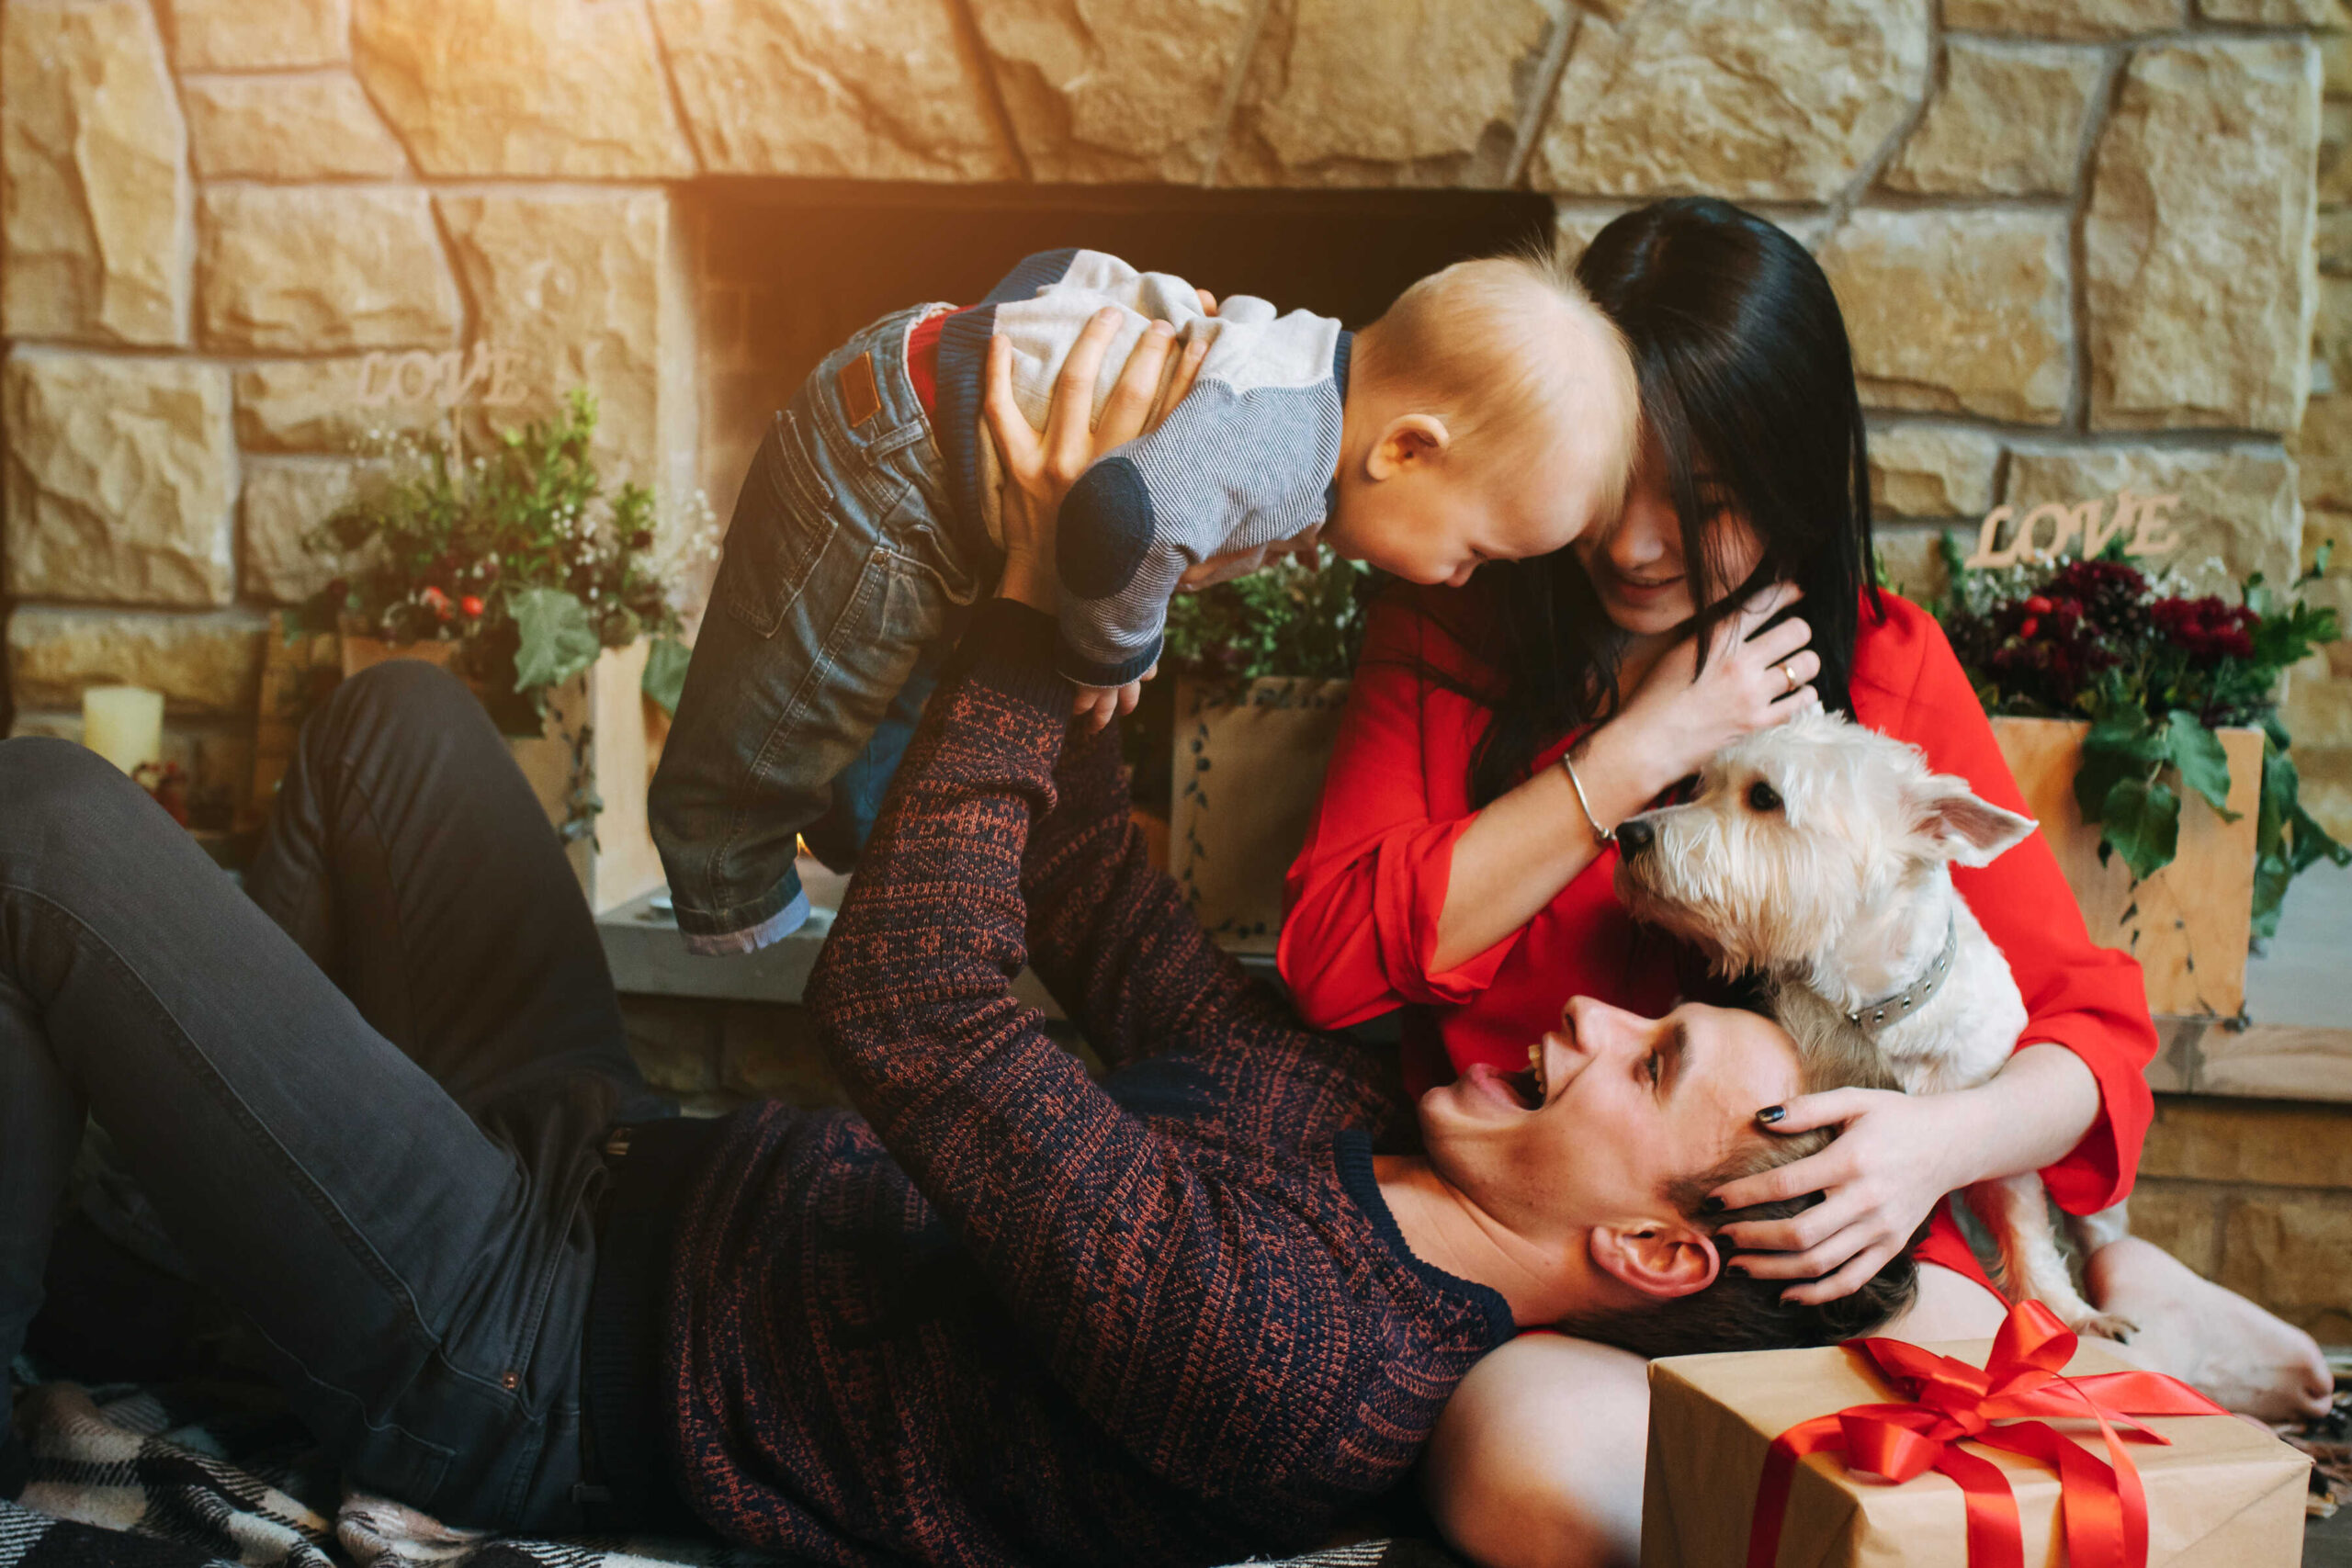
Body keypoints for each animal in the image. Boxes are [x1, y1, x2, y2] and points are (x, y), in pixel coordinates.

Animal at [1618, 709, 2135, 1335]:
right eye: (1700, 785)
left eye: (1764, 796)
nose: (1626, 834)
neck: (1873, 1013)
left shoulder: (1990, 1131)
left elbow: (2025, 1225)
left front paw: (2069, 1313)